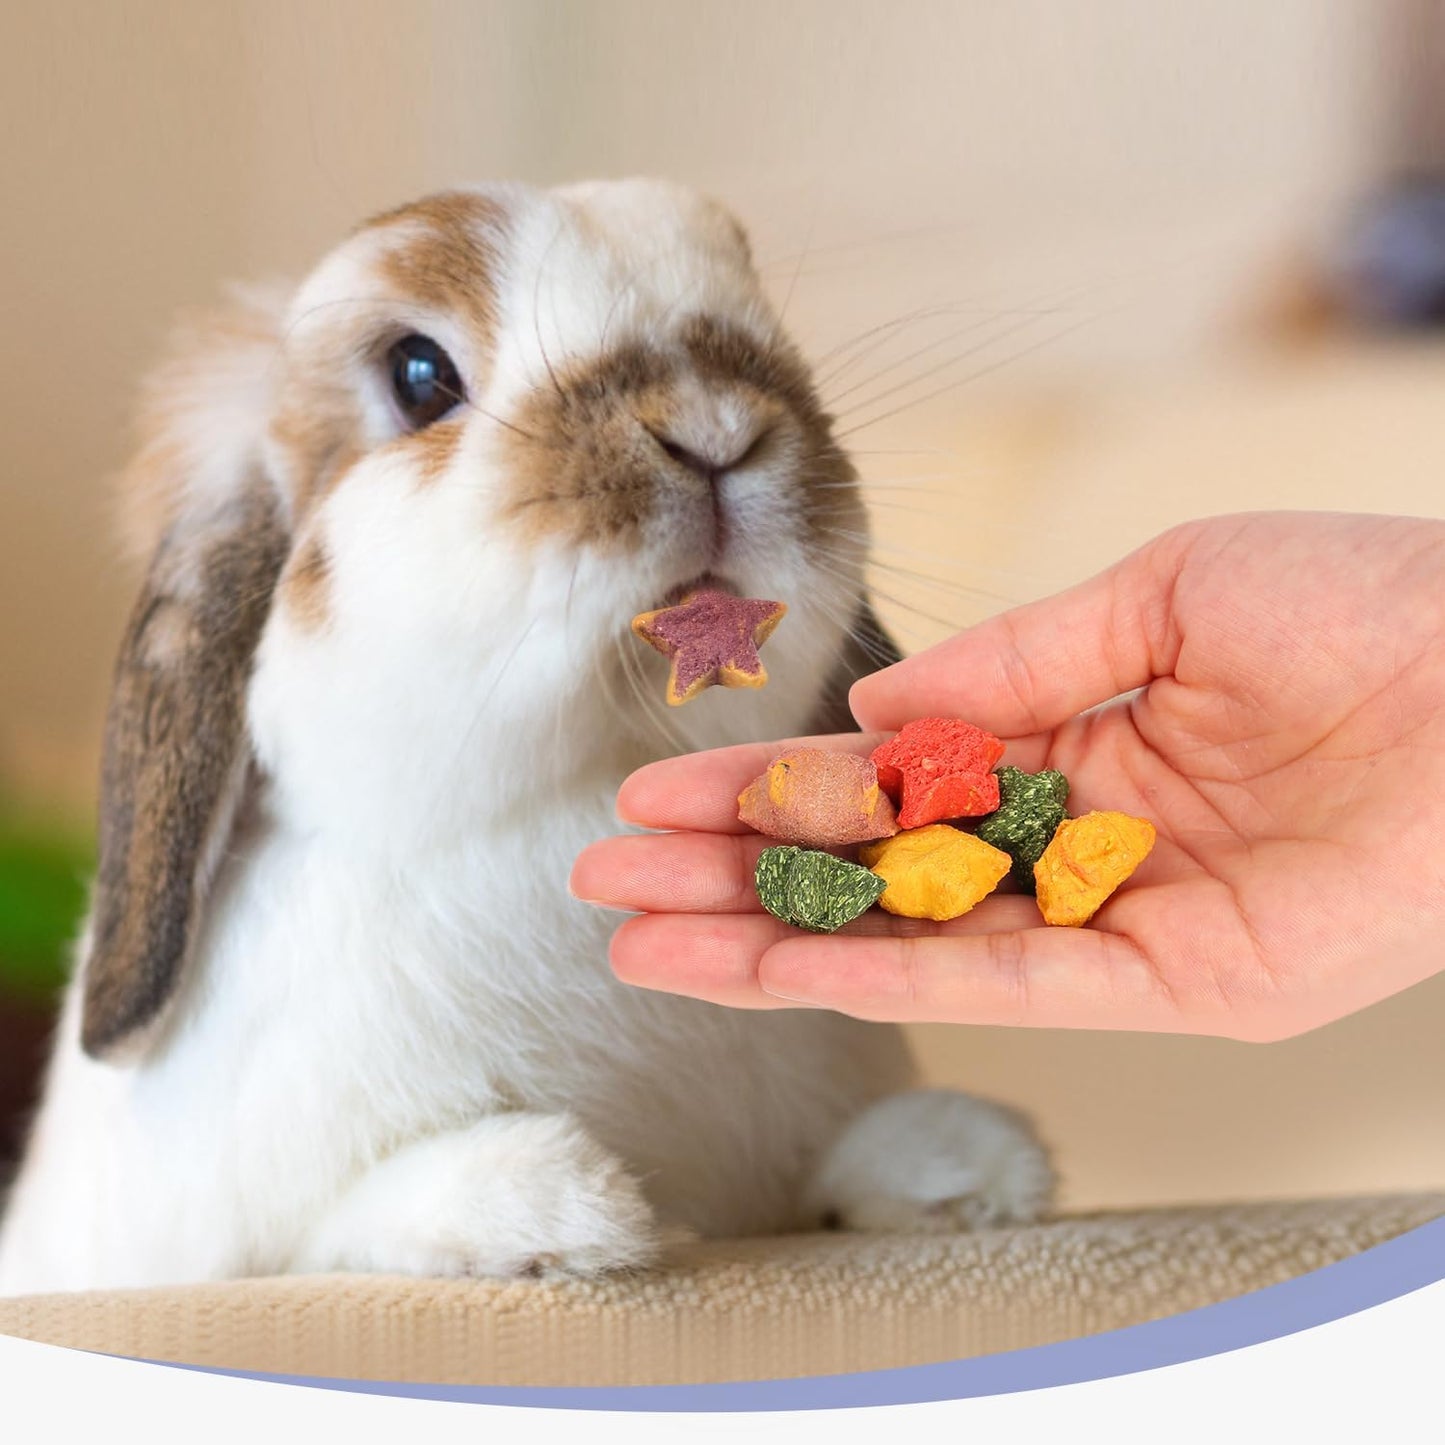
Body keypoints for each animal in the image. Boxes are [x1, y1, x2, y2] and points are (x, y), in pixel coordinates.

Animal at [0, 180, 1053, 1296]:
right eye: (418, 374)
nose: (714, 429)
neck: (593, 783)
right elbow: (333, 1231)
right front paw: (555, 1205)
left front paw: (965, 1163)